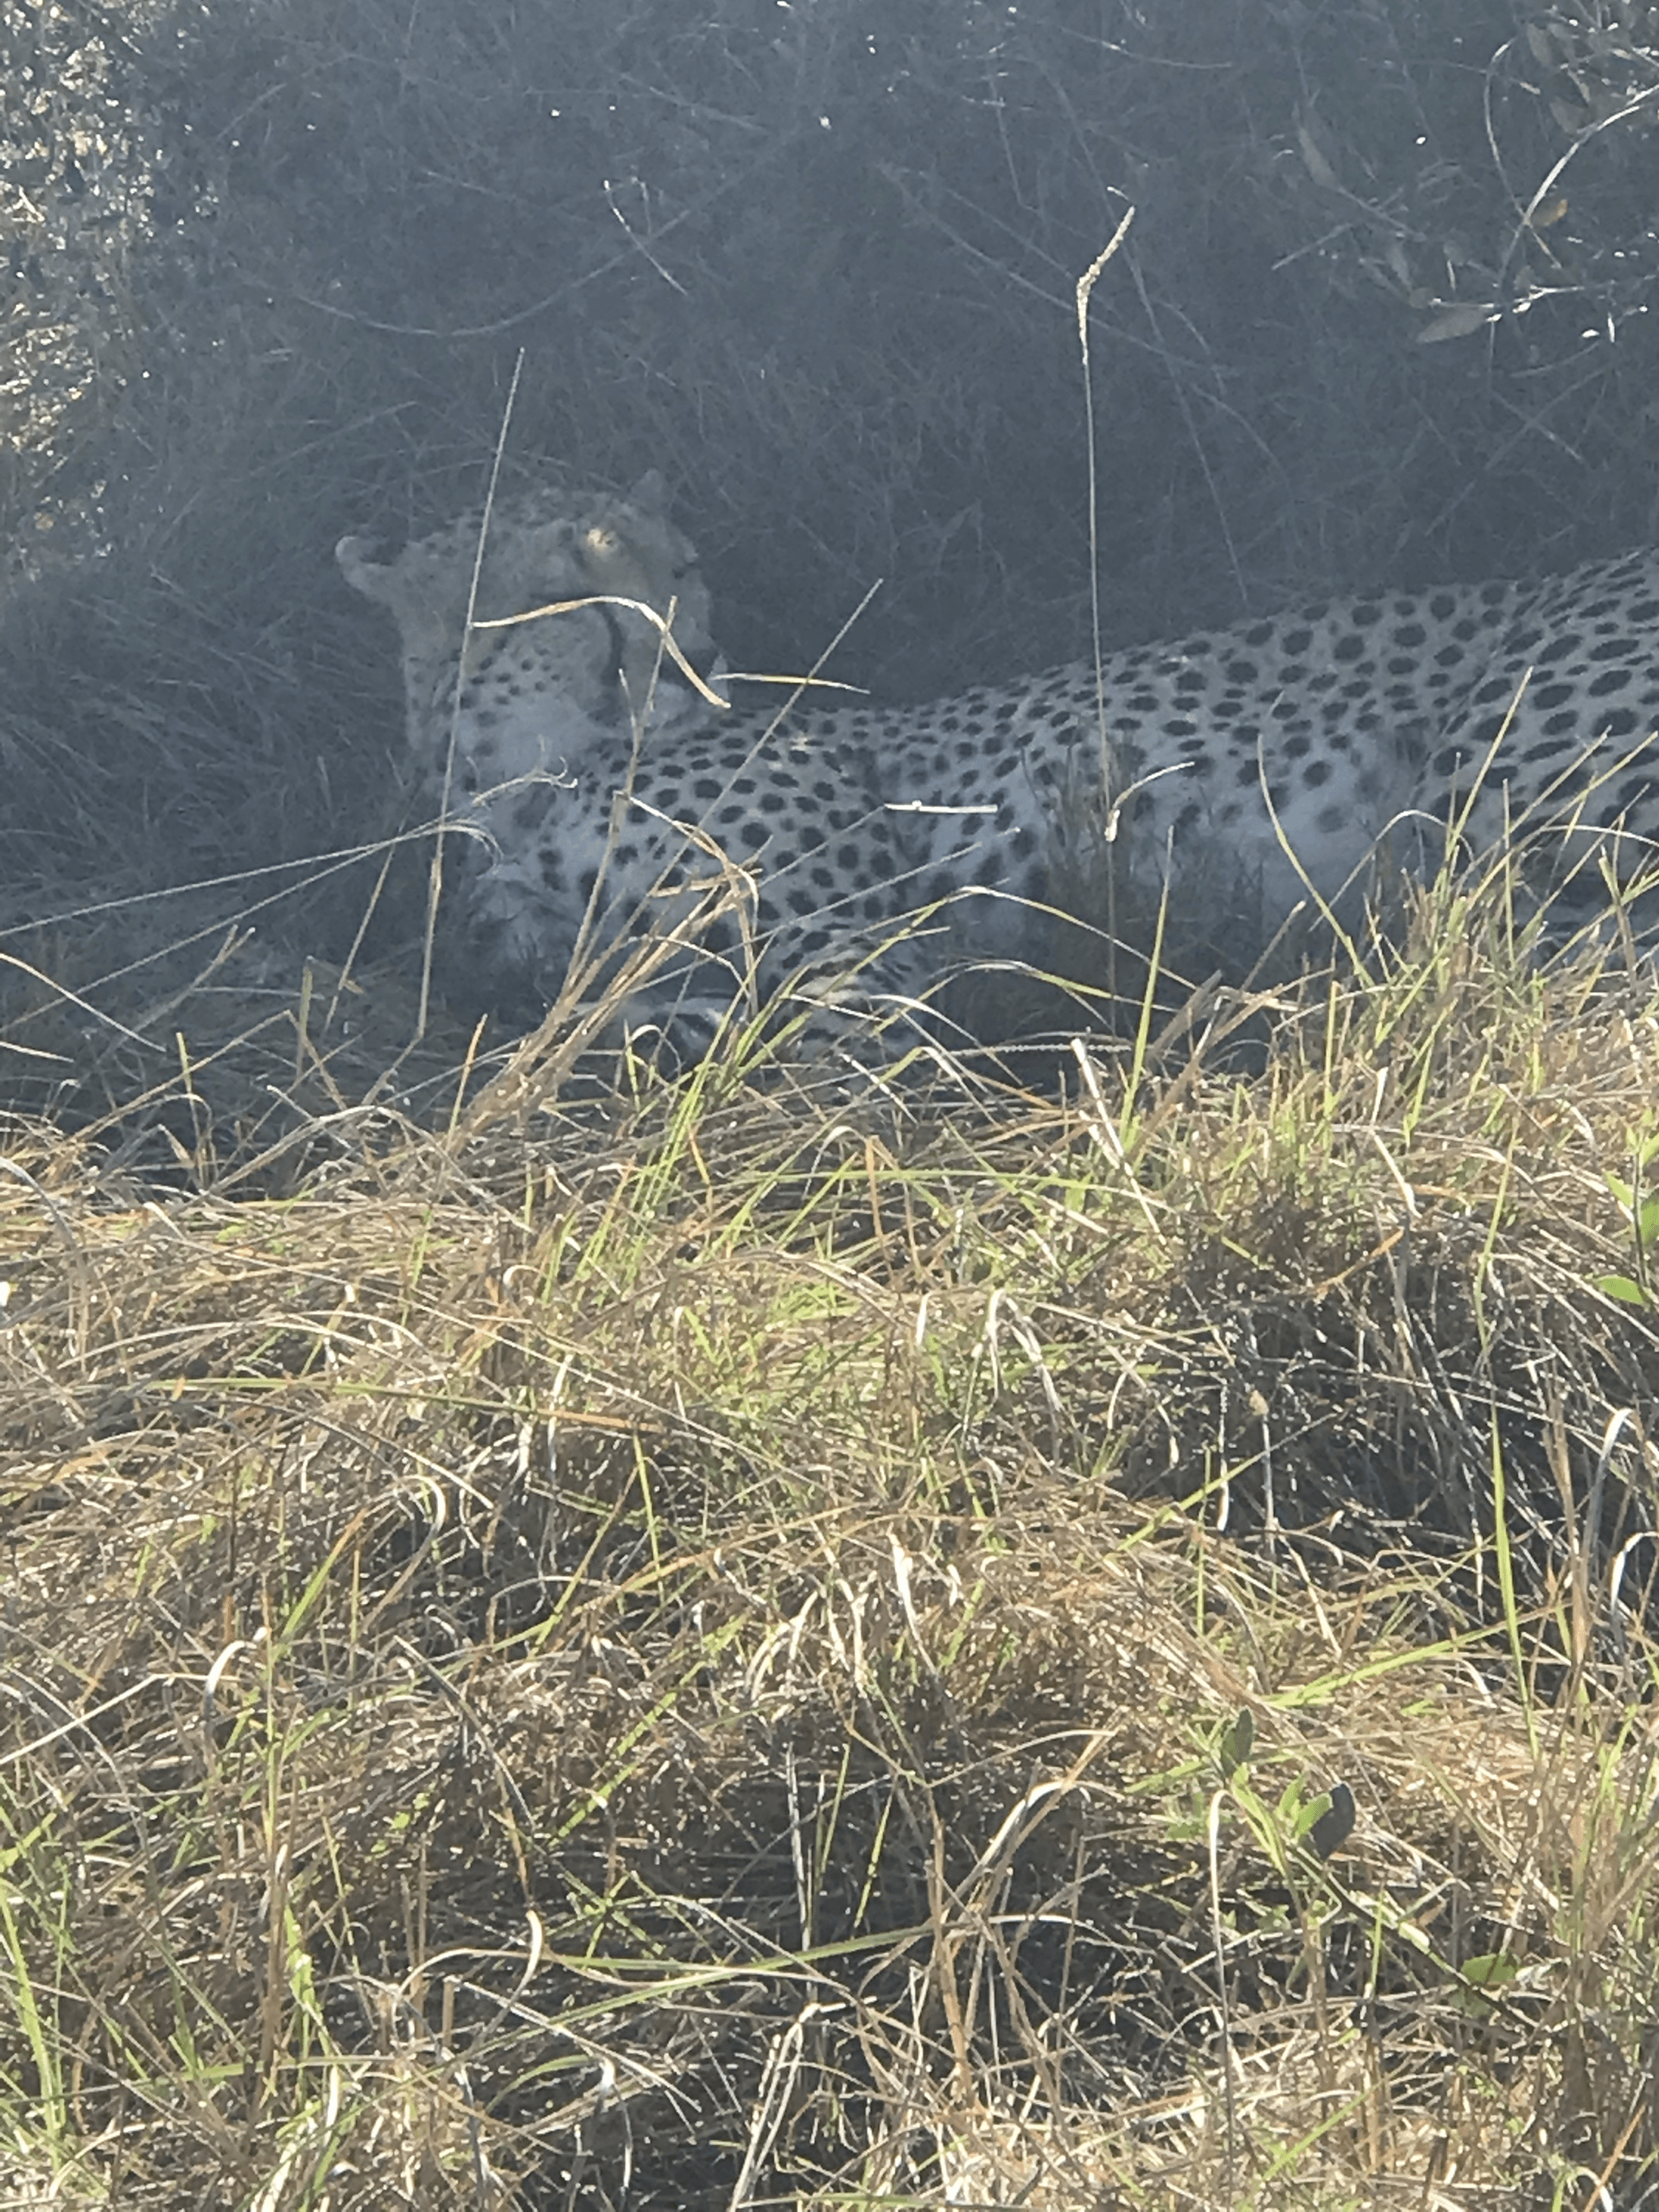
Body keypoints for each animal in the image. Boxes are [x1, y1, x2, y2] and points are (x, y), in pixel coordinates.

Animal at [338, 477, 1659, 1060]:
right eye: (575, 592)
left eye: (685, 566)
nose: (699, 658)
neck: (522, 779)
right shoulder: (602, 963)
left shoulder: (854, 952)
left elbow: (831, 1069)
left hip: (1509, 803)